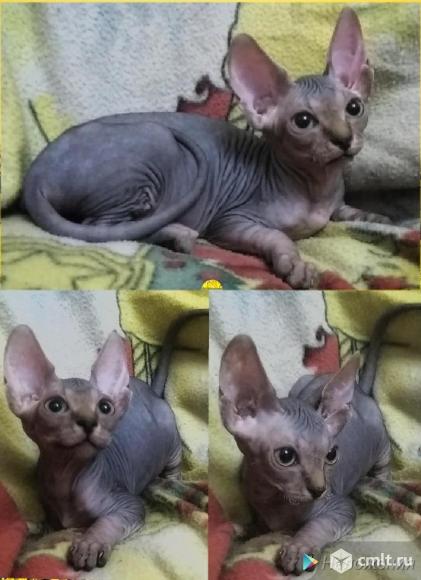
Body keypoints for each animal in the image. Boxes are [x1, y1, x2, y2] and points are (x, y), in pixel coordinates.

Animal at [4, 309, 207, 571]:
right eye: (55, 405)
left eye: (105, 407)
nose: (89, 421)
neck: (65, 476)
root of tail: (152, 393)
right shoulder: (51, 515)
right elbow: (48, 531)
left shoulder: (129, 504)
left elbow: (107, 521)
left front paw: (90, 544)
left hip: (171, 439)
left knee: (173, 469)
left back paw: (170, 483)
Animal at [21, 8, 389, 289]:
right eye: (303, 121)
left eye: (354, 108)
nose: (343, 138)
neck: (317, 187)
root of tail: (35, 172)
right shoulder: (232, 221)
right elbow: (276, 237)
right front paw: (295, 265)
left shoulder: (334, 203)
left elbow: (350, 212)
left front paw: (379, 219)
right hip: (156, 141)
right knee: (106, 229)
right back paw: (177, 235)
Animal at [218, 304, 421, 574]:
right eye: (286, 456)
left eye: (331, 455)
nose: (318, 489)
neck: (272, 498)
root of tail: (360, 390)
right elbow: (257, 525)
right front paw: (245, 530)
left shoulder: (340, 507)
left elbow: (318, 524)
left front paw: (298, 547)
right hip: (303, 382)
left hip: (382, 446)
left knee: (383, 465)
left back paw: (380, 482)